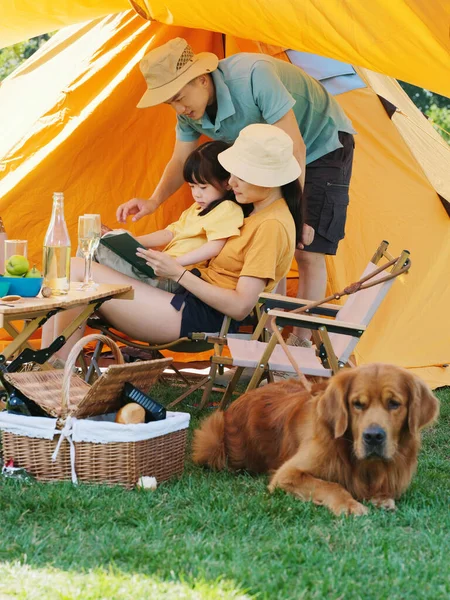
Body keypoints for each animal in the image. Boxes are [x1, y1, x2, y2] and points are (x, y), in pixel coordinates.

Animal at [193, 364, 440, 512]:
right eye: (357, 404)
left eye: (394, 403)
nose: (373, 437)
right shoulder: (287, 474)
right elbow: (331, 485)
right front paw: (349, 505)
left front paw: (380, 498)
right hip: (212, 440)